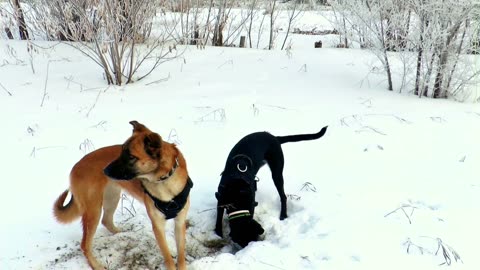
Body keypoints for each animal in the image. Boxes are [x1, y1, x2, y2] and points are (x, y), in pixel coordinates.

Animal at [53, 122, 192, 270]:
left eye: (131, 156)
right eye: (121, 152)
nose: (105, 170)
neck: (164, 180)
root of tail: (75, 167)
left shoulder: (180, 222)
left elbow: (181, 253)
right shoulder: (158, 225)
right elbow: (167, 256)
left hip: (112, 198)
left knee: (106, 220)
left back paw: (121, 232)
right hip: (93, 210)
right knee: (85, 245)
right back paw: (97, 265)